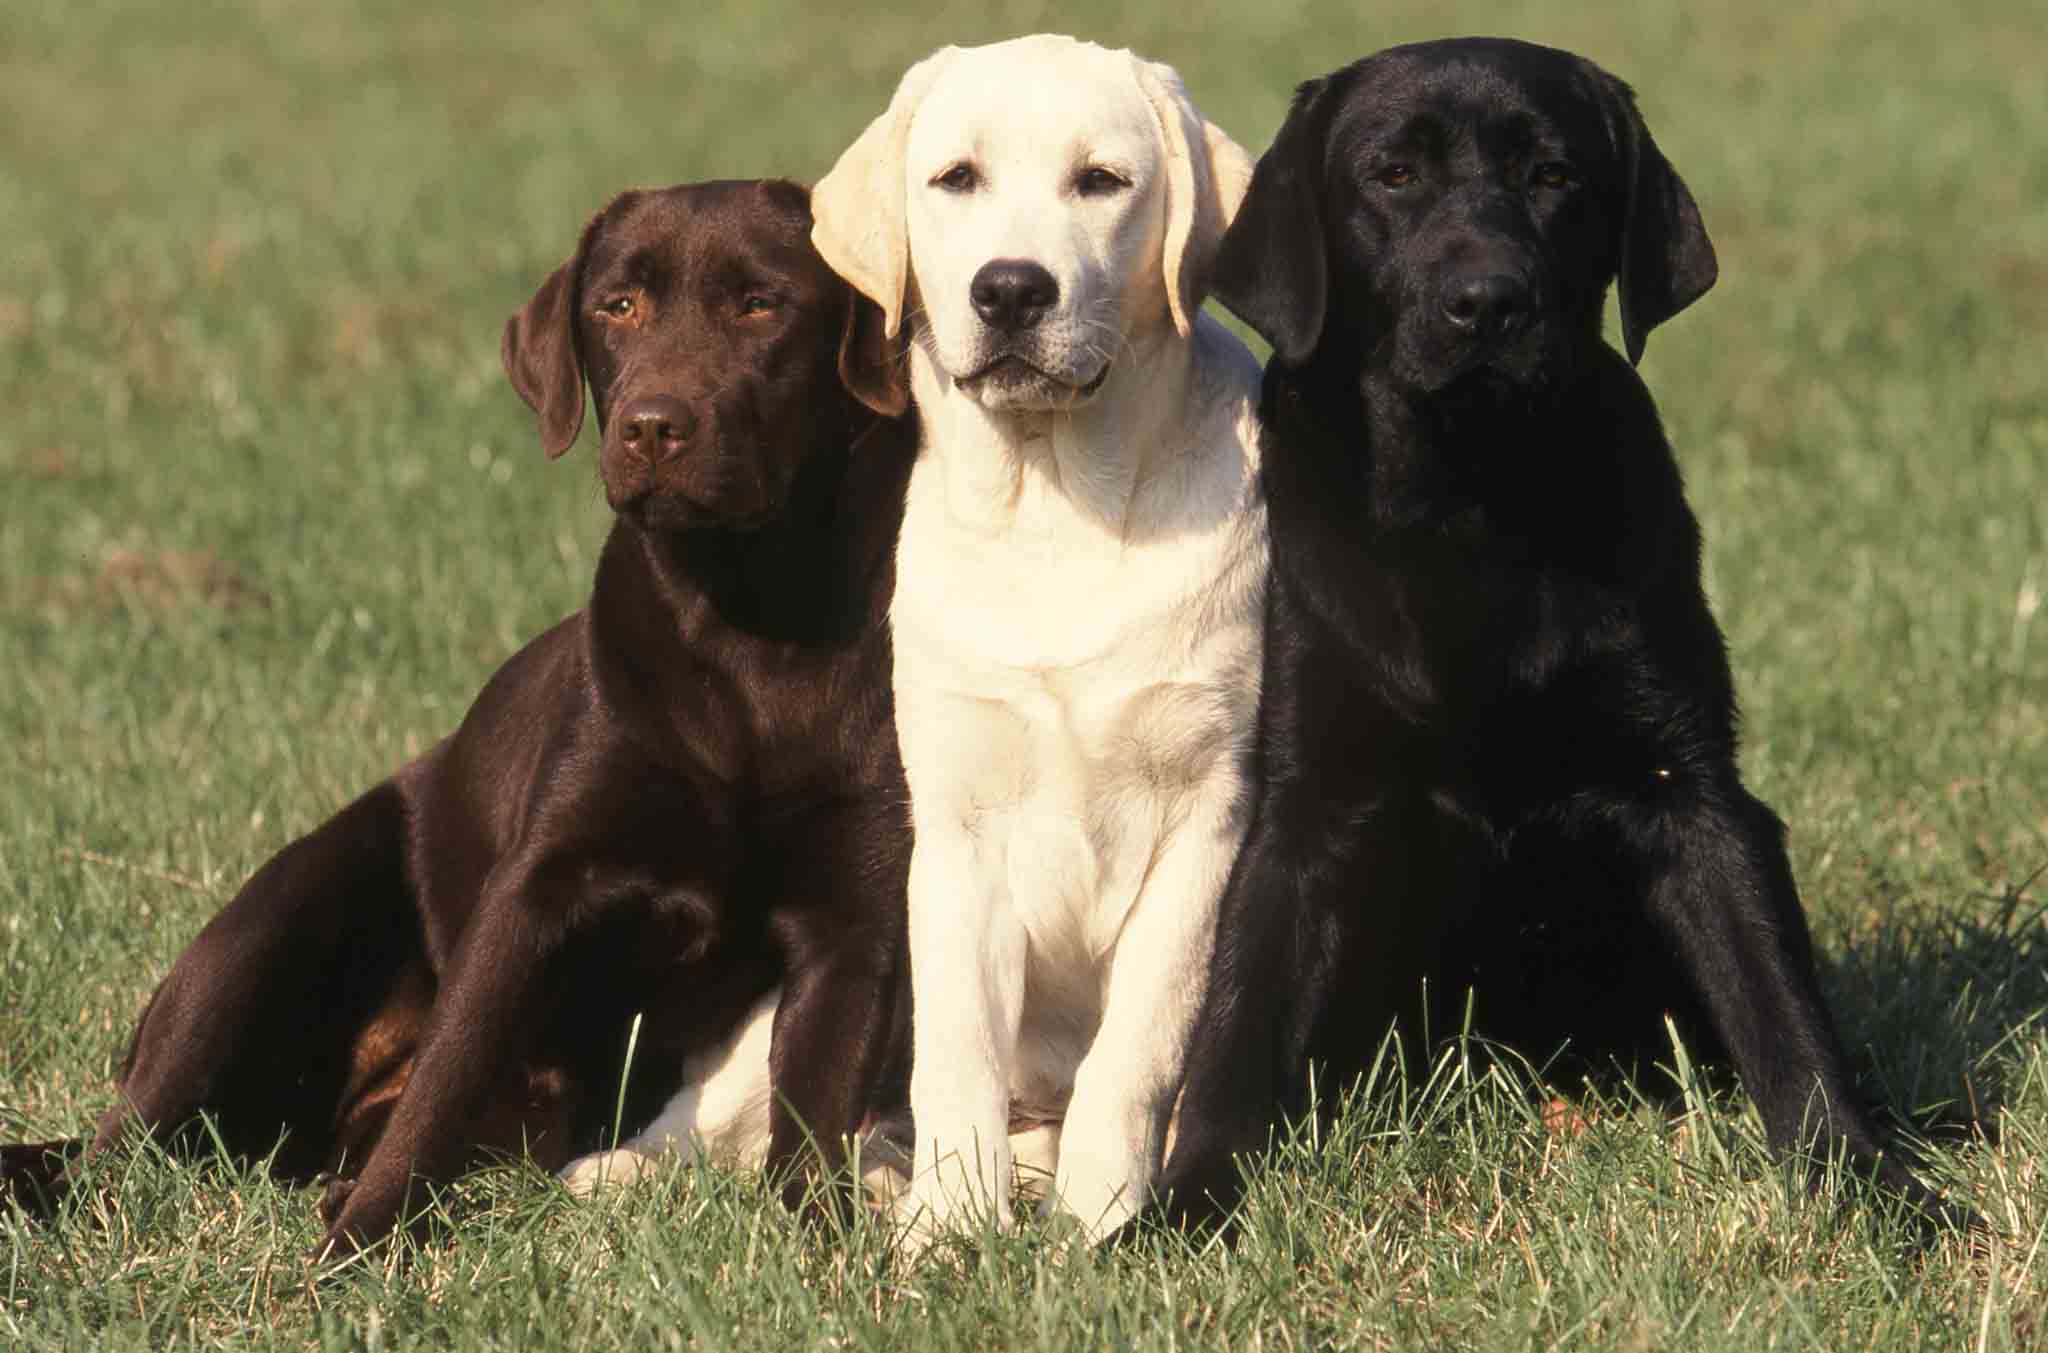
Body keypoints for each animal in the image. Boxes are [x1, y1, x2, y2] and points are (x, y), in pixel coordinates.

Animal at [0, 182, 913, 1252]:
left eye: (761, 305)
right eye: (618, 307)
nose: (652, 425)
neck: (744, 629)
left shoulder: (849, 927)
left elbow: (812, 1119)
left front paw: (816, 1253)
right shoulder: (536, 890)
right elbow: (446, 1076)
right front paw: (352, 1255)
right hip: (270, 925)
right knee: (122, 1146)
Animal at [802, 31, 1261, 1236]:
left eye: (1101, 181)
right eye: (955, 177)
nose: (1010, 288)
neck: (1054, 501)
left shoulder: (1206, 820)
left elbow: (1135, 1050)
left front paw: (1100, 1223)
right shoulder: (957, 829)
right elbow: (959, 1048)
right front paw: (947, 1229)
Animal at [1146, 36, 1957, 1228]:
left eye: (1555, 177)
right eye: (1392, 176)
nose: (1486, 302)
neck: (1476, 499)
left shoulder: (1689, 786)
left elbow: (1780, 1011)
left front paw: (1863, 1180)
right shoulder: (1307, 804)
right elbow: (1234, 1027)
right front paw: (1178, 1210)